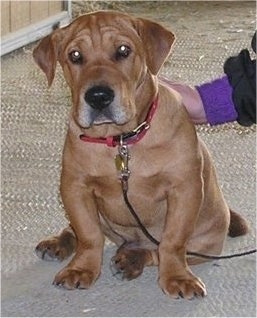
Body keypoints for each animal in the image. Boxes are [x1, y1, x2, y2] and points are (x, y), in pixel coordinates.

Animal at [33, 9, 247, 298]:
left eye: (123, 50)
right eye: (75, 55)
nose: (98, 97)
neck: (121, 141)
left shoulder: (184, 188)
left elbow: (172, 242)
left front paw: (177, 277)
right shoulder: (75, 186)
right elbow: (89, 235)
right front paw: (82, 268)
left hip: (206, 243)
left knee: (155, 251)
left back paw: (131, 259)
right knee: (77, 230)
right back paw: (59, 243)